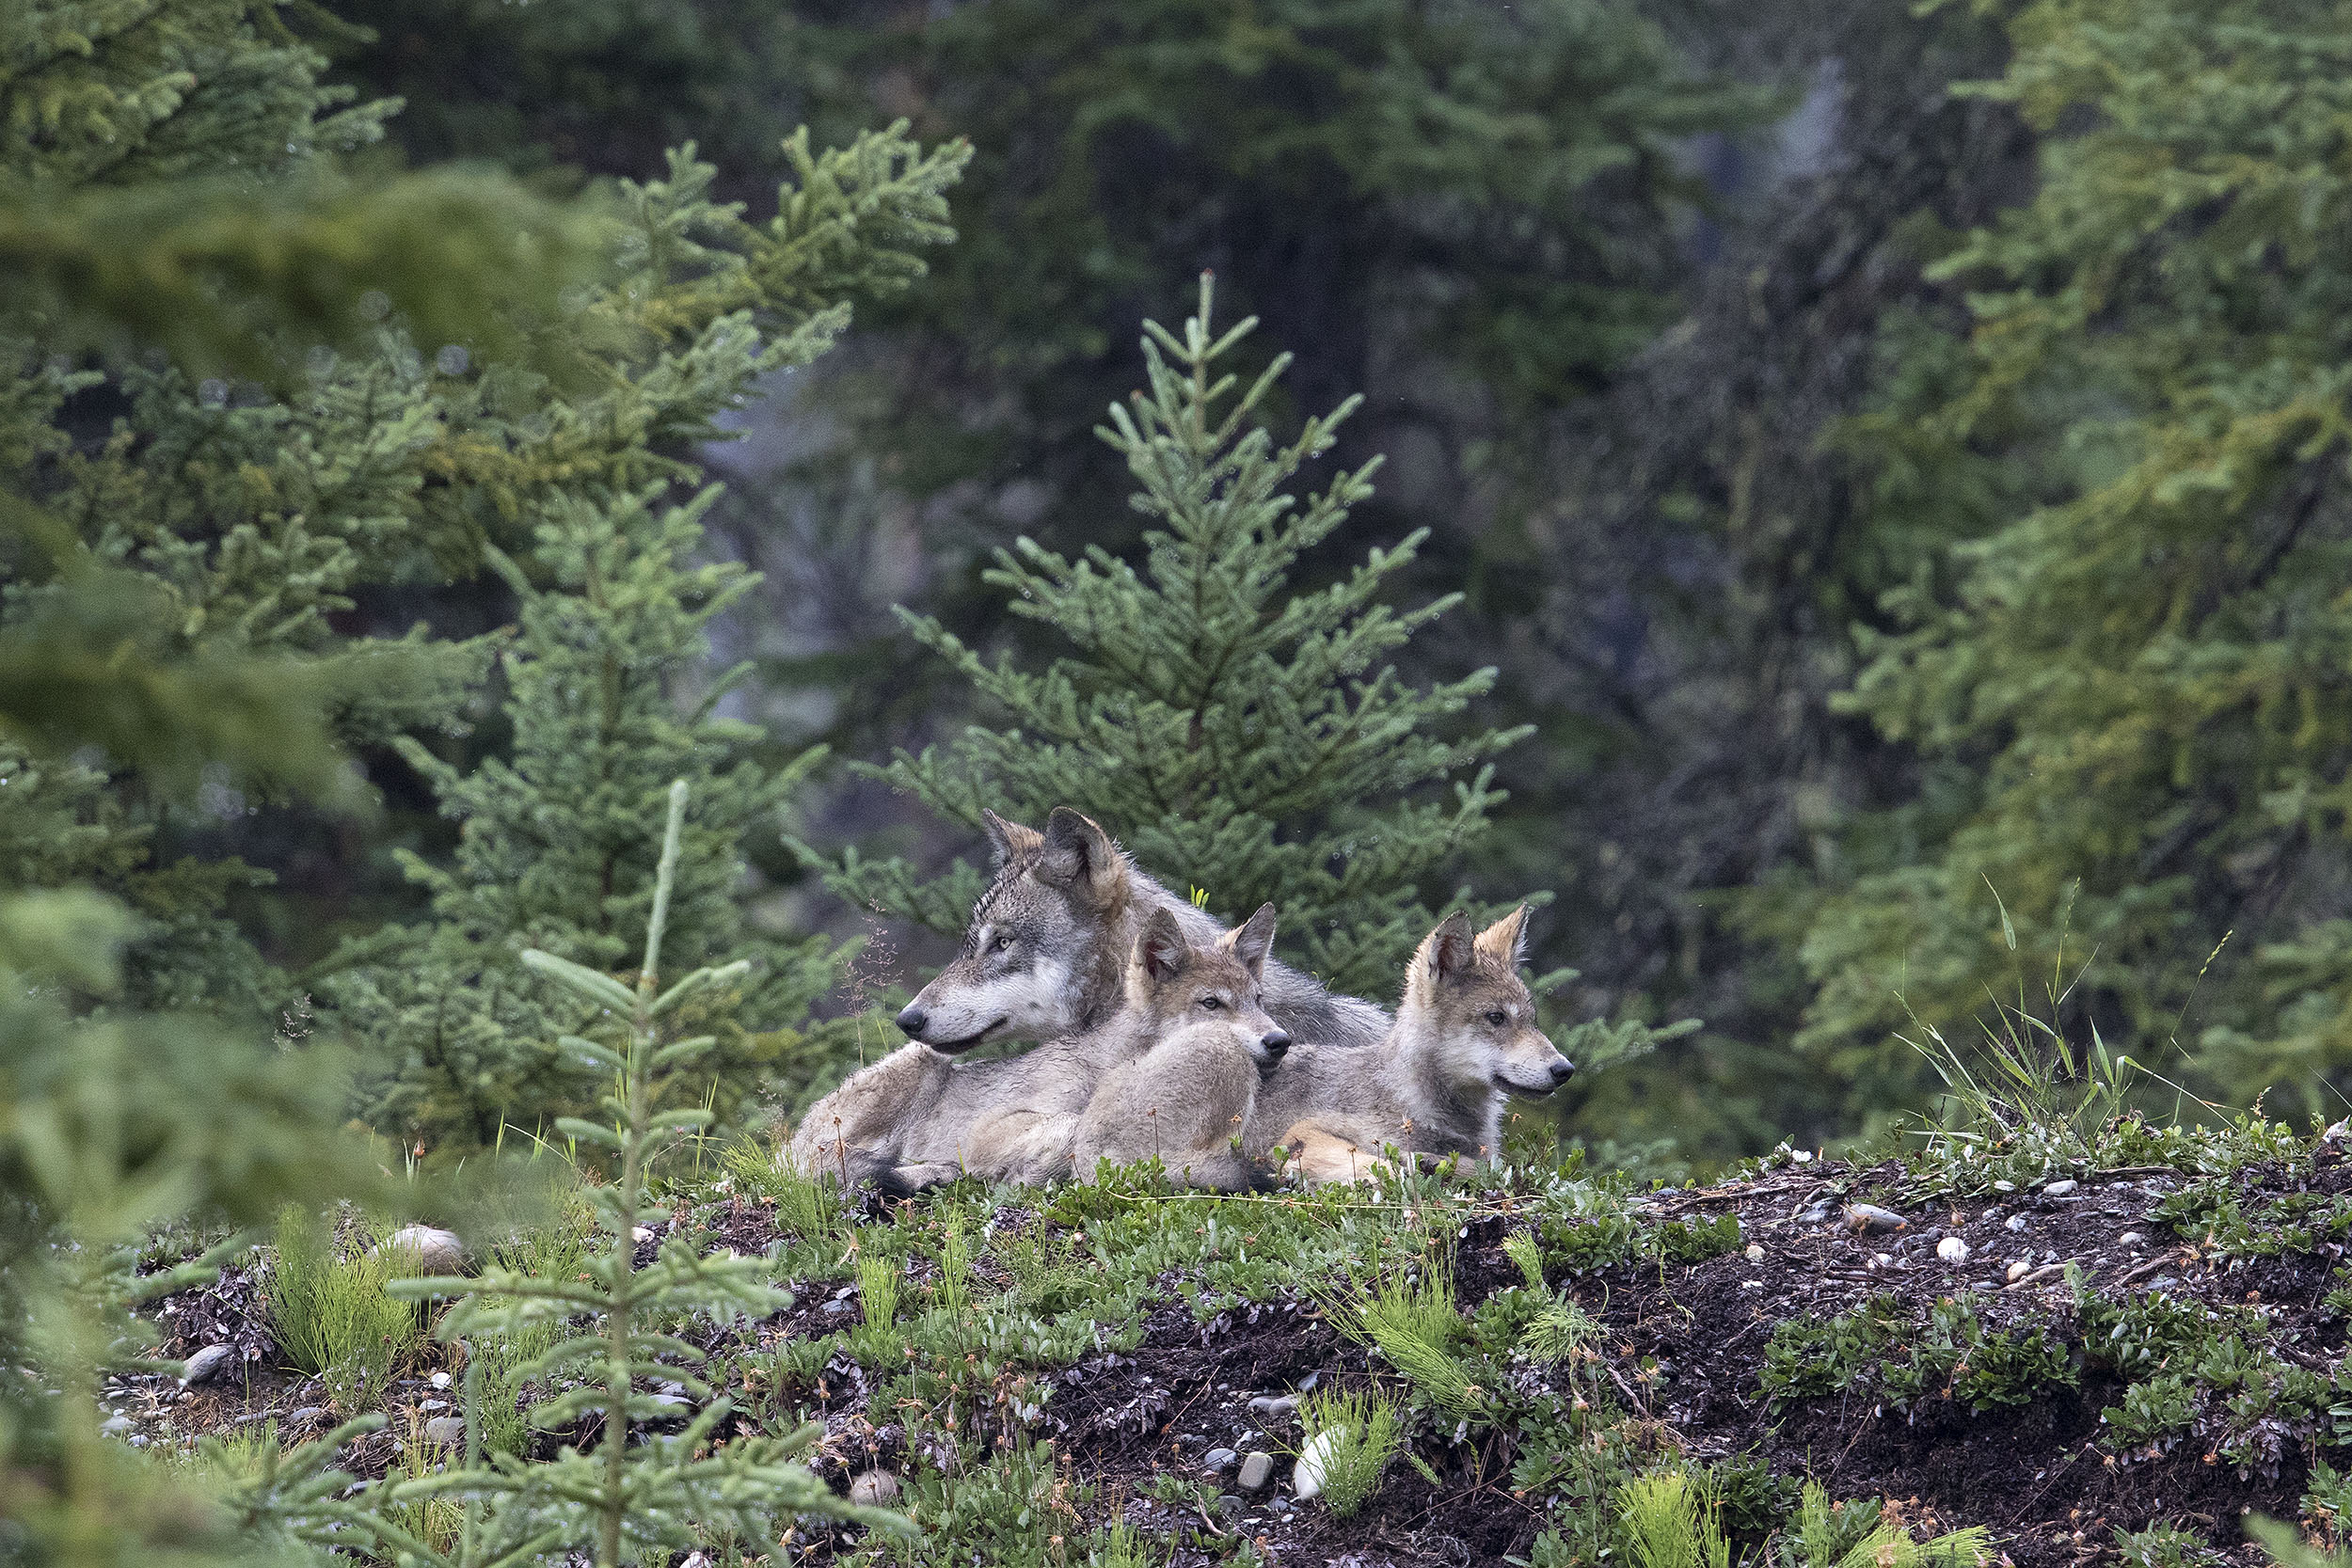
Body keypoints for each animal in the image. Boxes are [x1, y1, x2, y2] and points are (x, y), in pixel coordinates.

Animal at [788, 903, 1285, 1191]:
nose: (1280, 1041)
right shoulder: (993, 1128)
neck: (1105, 1067)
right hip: (919, 1062)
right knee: (825, 1168)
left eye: (1258, 1001)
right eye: (1211, 1003)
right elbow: (1070, 1127)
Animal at [1074, 906, 1573, 1188]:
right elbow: (1398, 1167)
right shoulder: (1310, 1131)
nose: (1564, 1069)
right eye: (1496, 1018)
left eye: (1530, 1019)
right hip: (1221, 1050)